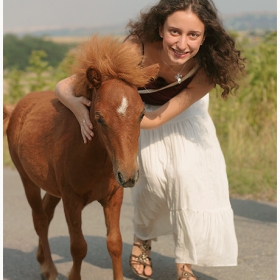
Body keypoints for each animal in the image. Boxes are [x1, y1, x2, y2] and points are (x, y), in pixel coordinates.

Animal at [4, 35, 159, 280]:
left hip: (52, 186)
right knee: (40, 219)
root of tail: (17, 108)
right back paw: (49, 269)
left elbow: (115, 243)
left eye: (142, 114)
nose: (128, 176)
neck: (95, 160)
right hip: (27, 179)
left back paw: (42, 260)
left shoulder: (113, 197)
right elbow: (78, 247)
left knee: (46, 214)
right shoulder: (72, 200)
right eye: (99, 117)